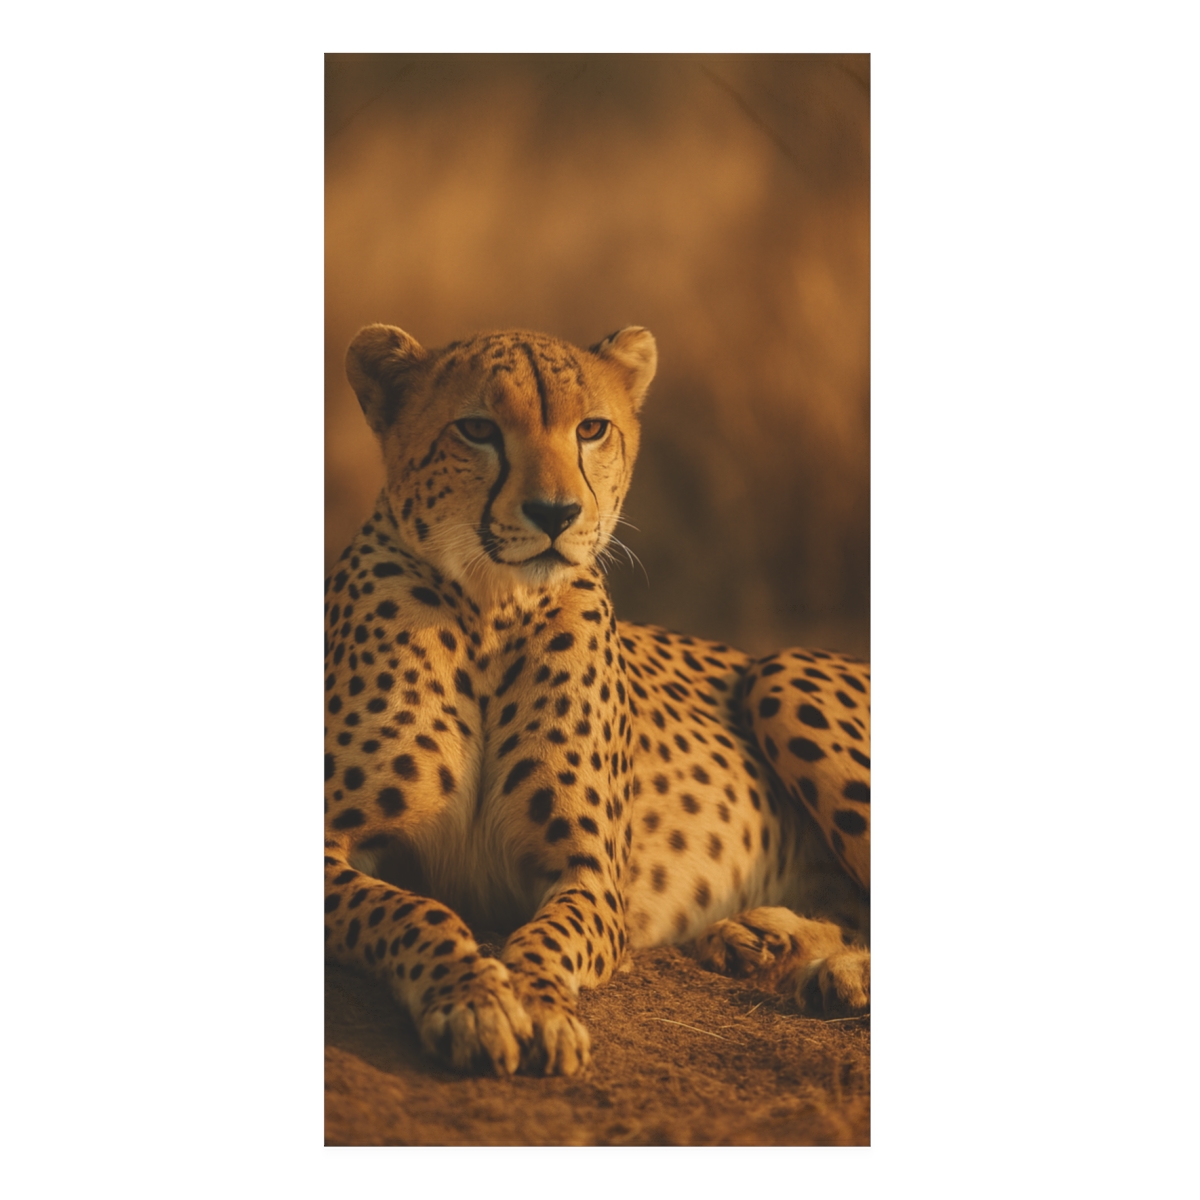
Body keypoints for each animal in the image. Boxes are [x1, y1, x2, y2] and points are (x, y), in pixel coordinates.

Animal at [324, 322, 870, 1077]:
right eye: (477, 429)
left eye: (591, 429)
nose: (556, 513)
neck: (490, 611)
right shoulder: (329, 844)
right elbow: (415, 910)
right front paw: (473, 998)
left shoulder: (589, 876)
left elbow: (547, 939)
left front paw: (538, 1006)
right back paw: (766, 940)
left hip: (780, 673)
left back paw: (830, 969)